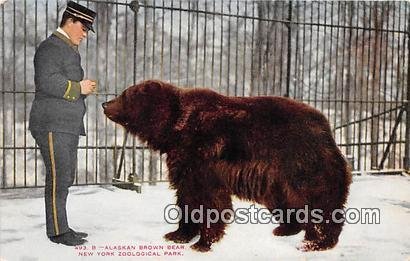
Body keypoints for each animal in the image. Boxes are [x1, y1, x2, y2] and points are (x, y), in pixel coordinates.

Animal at [102, 79, 352, 252]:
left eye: (123, 95)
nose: (105, 103)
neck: (174, 128)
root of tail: (326, 125)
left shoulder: (202, 153)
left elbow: (209, 199)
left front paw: (203, 242)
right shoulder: (184, 161)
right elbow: (186, 196)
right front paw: (177, 234)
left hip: (301, 160)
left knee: (319, 199)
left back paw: (317, 241)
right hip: (278, 176)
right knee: (287, 199)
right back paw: (285, 228)